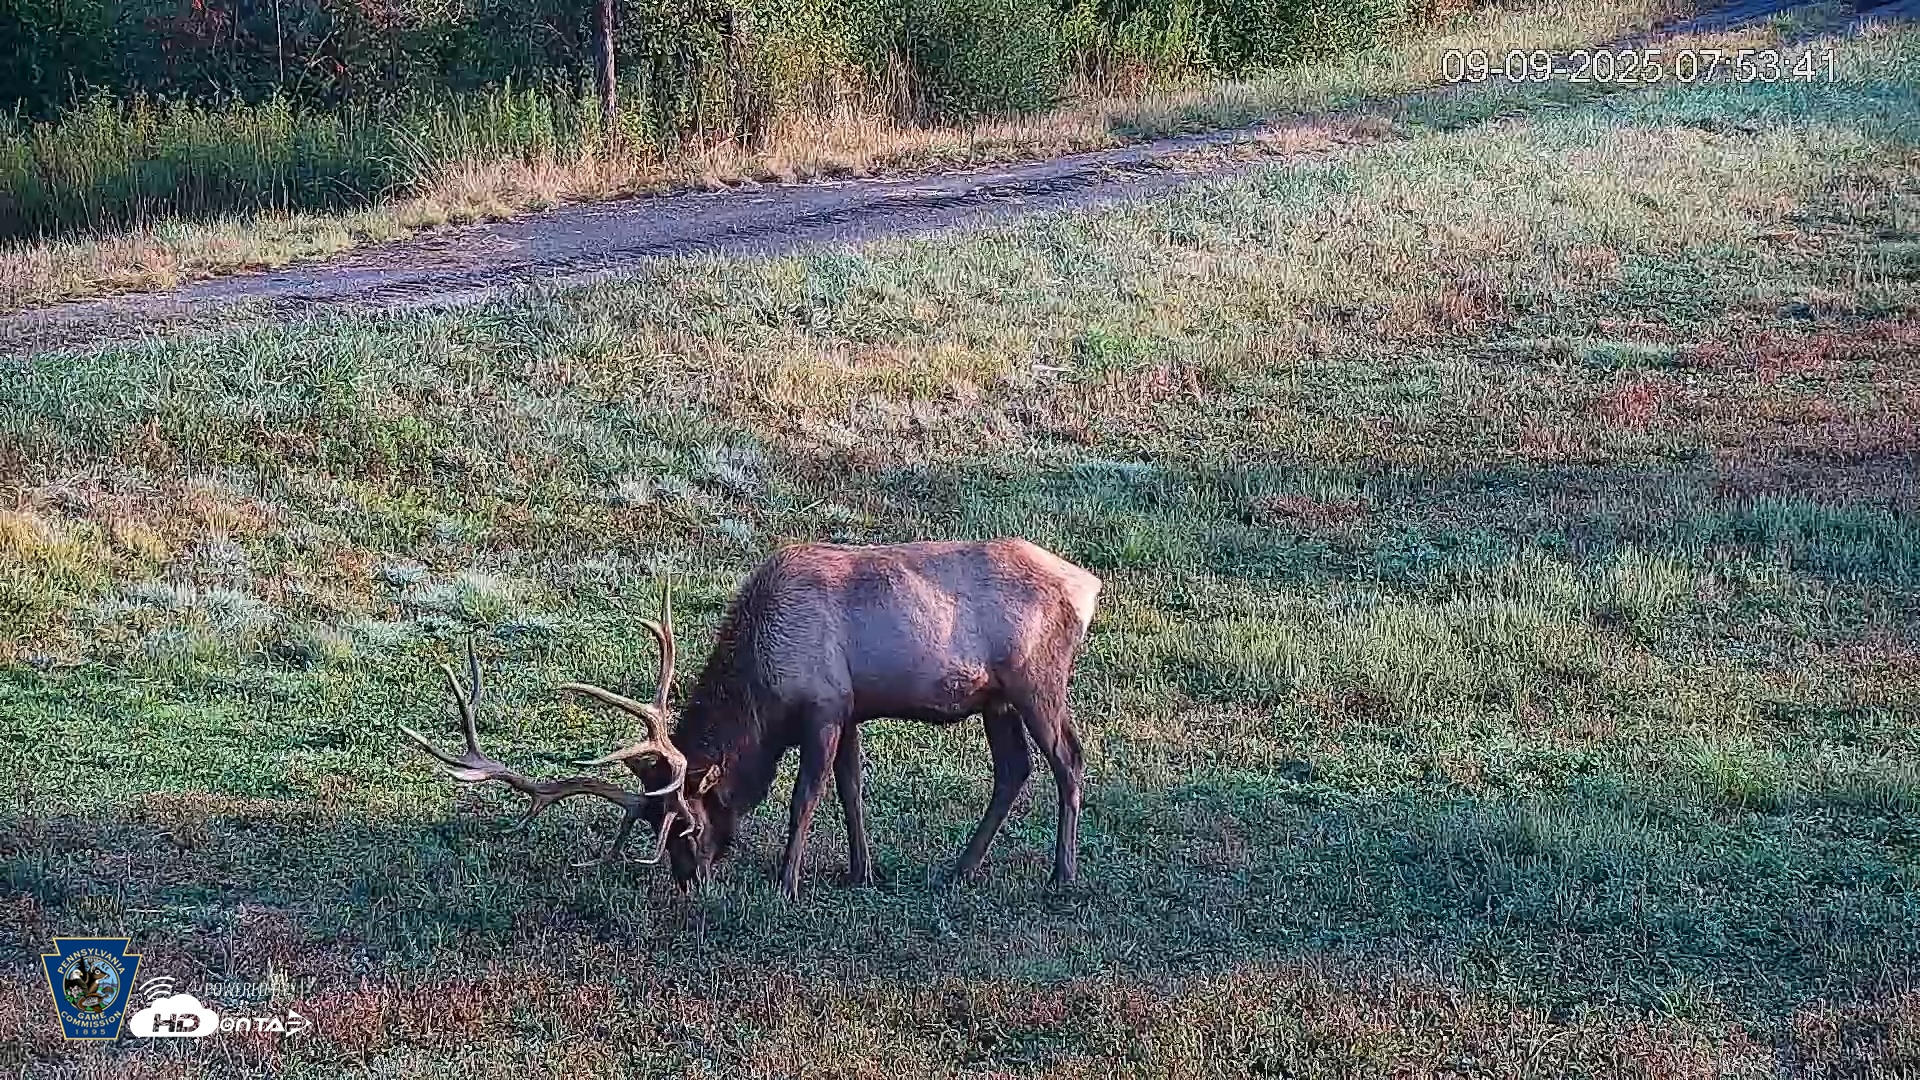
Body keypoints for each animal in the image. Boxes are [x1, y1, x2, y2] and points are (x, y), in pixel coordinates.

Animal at [401, 538, 1102, 900]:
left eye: (684, 822)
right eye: (653, 825)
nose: (689, 878)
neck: (765, 687)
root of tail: (1087, 584)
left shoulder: (822, 706)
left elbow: (806, 795)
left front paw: (786, 880)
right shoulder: (849, 708)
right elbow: (851, 788)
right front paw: (862, 872)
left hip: (1037, 679)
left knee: (1069, 759)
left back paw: (1062, 875)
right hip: (997, 699)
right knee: (1014, 770)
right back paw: (960, 868)